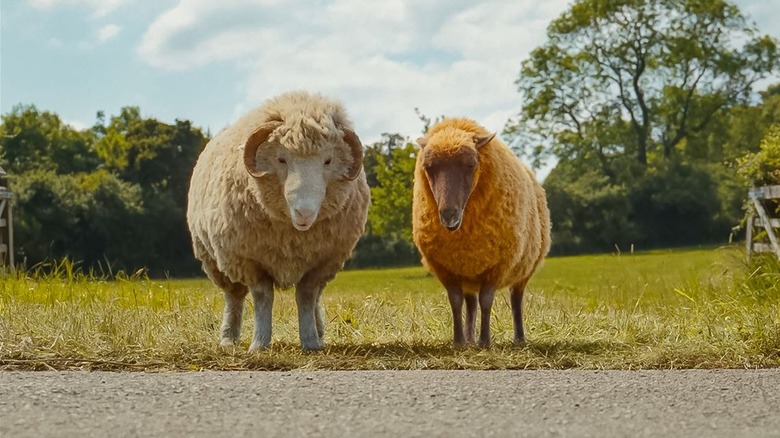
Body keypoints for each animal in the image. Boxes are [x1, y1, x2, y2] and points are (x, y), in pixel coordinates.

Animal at [186, 91, 370, 351]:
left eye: (328, 161)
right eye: (282, 160)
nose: (304, 213)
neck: (293, 236)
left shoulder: (322, 262)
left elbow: (306, 296)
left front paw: (310, 341)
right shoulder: (249, 261)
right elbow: (263, 298)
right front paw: (259, 343)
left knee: (315, 299)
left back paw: (319, 332)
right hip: (216, 261)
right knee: (234, 297)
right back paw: (228, 338)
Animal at [412, 117, 551, 347]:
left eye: (470, 165)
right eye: (428, 167)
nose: (448, 214)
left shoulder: (498, 265)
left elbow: (486, 301)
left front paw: (485, 341)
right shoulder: (445, 268)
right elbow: (456, 302)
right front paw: (459, 341)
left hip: (524, 268)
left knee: (516, 300)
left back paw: (519, 338)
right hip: (469, 271)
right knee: (470, 303)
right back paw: (469, 339)